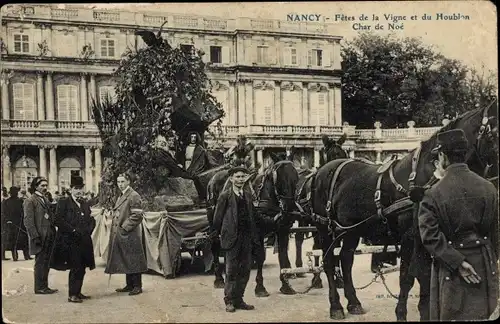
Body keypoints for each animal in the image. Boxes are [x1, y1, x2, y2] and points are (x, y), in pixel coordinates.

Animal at [206, 157, 298, 296]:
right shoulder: (258, 231)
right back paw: (219, 279)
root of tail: (214, 178)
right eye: (279, 179)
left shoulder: (283, 230)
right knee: (215, 246)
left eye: (296, 177)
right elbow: (260, 256)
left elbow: (282, 256)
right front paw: (260, 287)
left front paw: (286, 285)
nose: (289, 210)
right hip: (214, 224)